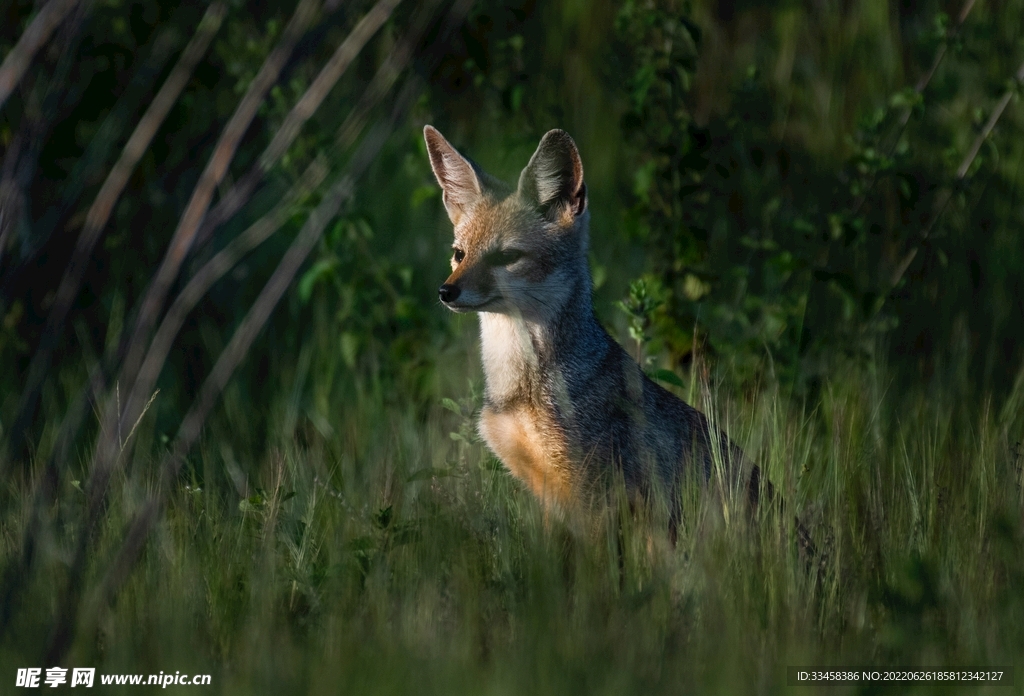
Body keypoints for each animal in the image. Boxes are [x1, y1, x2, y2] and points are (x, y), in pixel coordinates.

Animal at [423, 126, 770, 536]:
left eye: (506, 257)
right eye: (459, 254)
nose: (446, 291)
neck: (519, 387)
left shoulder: (596, 499)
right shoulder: (551, 496)